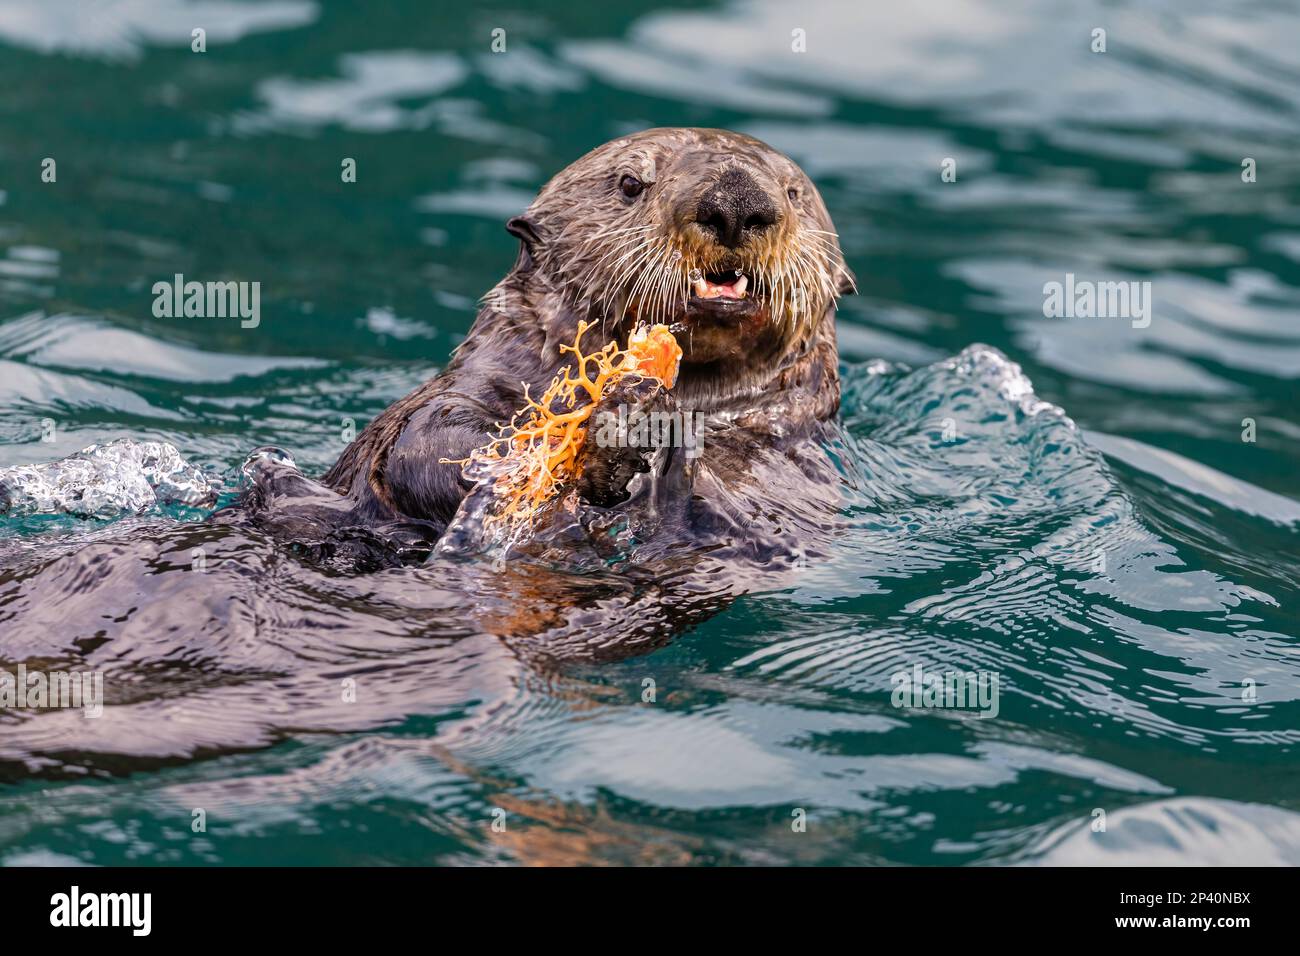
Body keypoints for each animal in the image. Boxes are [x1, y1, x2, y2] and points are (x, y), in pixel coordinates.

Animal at [261, 127, 852, 561]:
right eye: (630, 184)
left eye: (794, 193)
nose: (736, 200)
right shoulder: (468, 389)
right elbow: (429, 445)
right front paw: (621, 428)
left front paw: (639, 429)